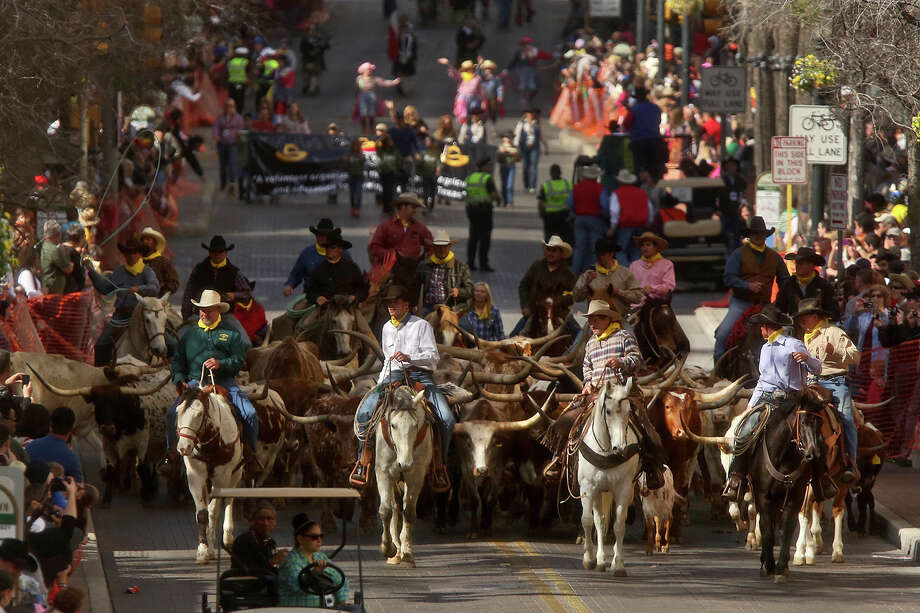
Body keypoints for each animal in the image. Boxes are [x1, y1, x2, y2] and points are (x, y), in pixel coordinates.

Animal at [174, 384, 243, 560]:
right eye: (178, 411)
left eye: (199, 414)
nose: (183, 447)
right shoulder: (195, 476)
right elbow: (202, 513)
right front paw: (203, 549)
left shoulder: (222, 478)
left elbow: (213, 511)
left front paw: (211, 548)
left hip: (236, 474)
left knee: (229, 500)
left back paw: (228, 536)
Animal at [374, 384, 432, 568]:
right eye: (393, 425)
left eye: (415, 425)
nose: (404, 465)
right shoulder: (383, 473)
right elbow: (386, 510)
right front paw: (387, 548)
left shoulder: (416, 474)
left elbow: (410, 511)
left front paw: (407, 551)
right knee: (393, 507)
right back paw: (395, 551)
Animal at [580, 376, 644, 576]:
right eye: (607, 411)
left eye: (629, 410)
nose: (620, 448)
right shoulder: (587, 487)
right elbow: (587, 520)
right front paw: (589, 559)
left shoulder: (623, 488)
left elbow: (619, 525)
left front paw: (619, 564)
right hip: (598, 491)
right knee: (599, 521)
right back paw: (599, 561)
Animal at [748, 388, 828, 580]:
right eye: (804, 422)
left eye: (820, 423)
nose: (813, 454)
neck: (784, 457)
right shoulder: (763, 496)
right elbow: (767, 531)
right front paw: (768, 565)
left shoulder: (796, 497)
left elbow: (787, 530)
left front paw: (781, 567)